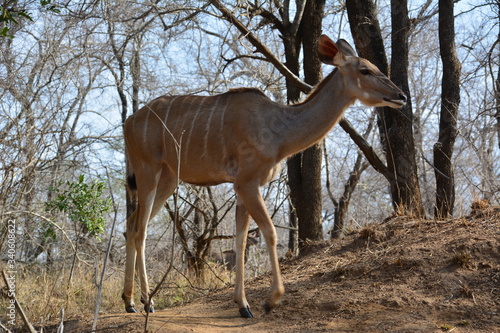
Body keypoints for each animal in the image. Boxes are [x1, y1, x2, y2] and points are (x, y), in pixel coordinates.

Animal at [121, 35, 406, 318]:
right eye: (365, 70)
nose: (401, 96)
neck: (278, 130)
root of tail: (128, 121)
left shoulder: (242, 188)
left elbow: (240, 241)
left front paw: (243, 305)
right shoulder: (247, 183)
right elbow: (269, 232)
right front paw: (271, 300)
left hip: (168, 179)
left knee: (131, 225)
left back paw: (130, 301)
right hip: (148, 171)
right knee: (140, 230)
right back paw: (147, 302)